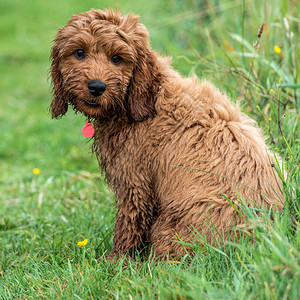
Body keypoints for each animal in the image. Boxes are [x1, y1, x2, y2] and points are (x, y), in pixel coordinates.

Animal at [51, 8, 284, 258]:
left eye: (117, 58)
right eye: (79, 52)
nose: (96, 87)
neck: (146, 97)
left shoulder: (136, 182)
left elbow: (128, 224)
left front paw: (117, 259)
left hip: (170, 226)